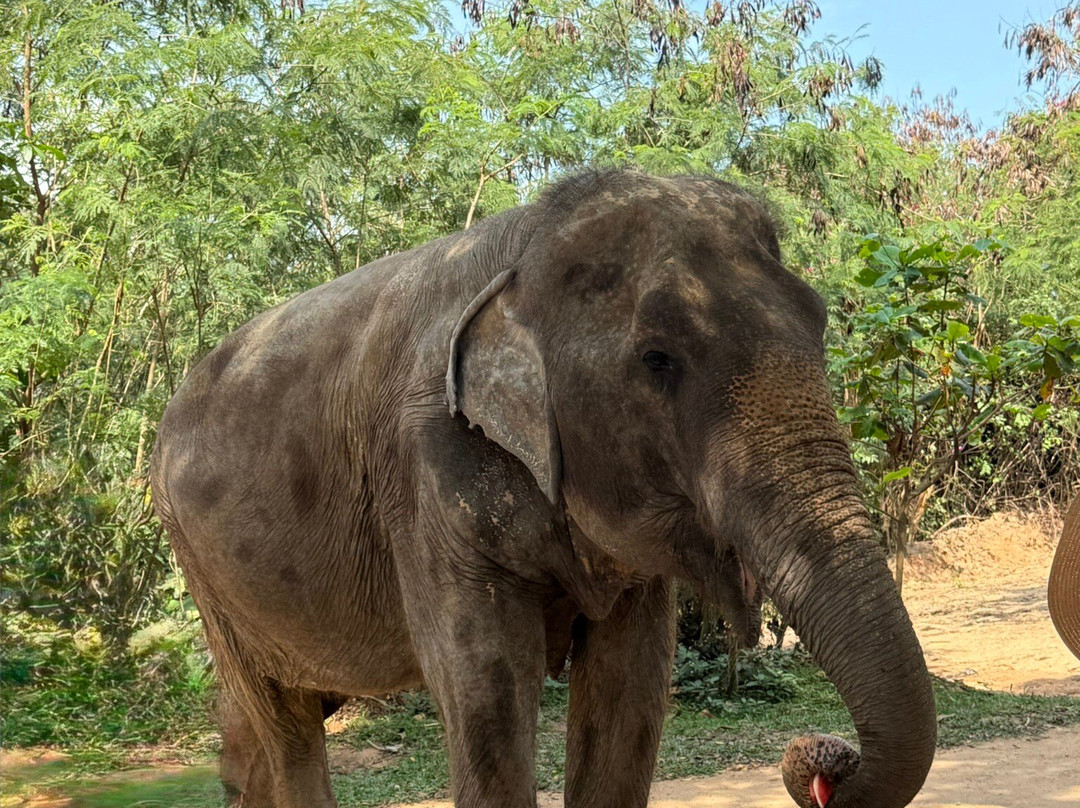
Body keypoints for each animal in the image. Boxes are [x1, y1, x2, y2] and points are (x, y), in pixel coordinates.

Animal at [151, 170, 936, 808]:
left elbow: (630, 693)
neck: (526, 248)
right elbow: (488, 691)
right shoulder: (426, 473)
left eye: (819, 322)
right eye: (657, 360)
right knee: (284, 726)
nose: (822, 757)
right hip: (204, 572)